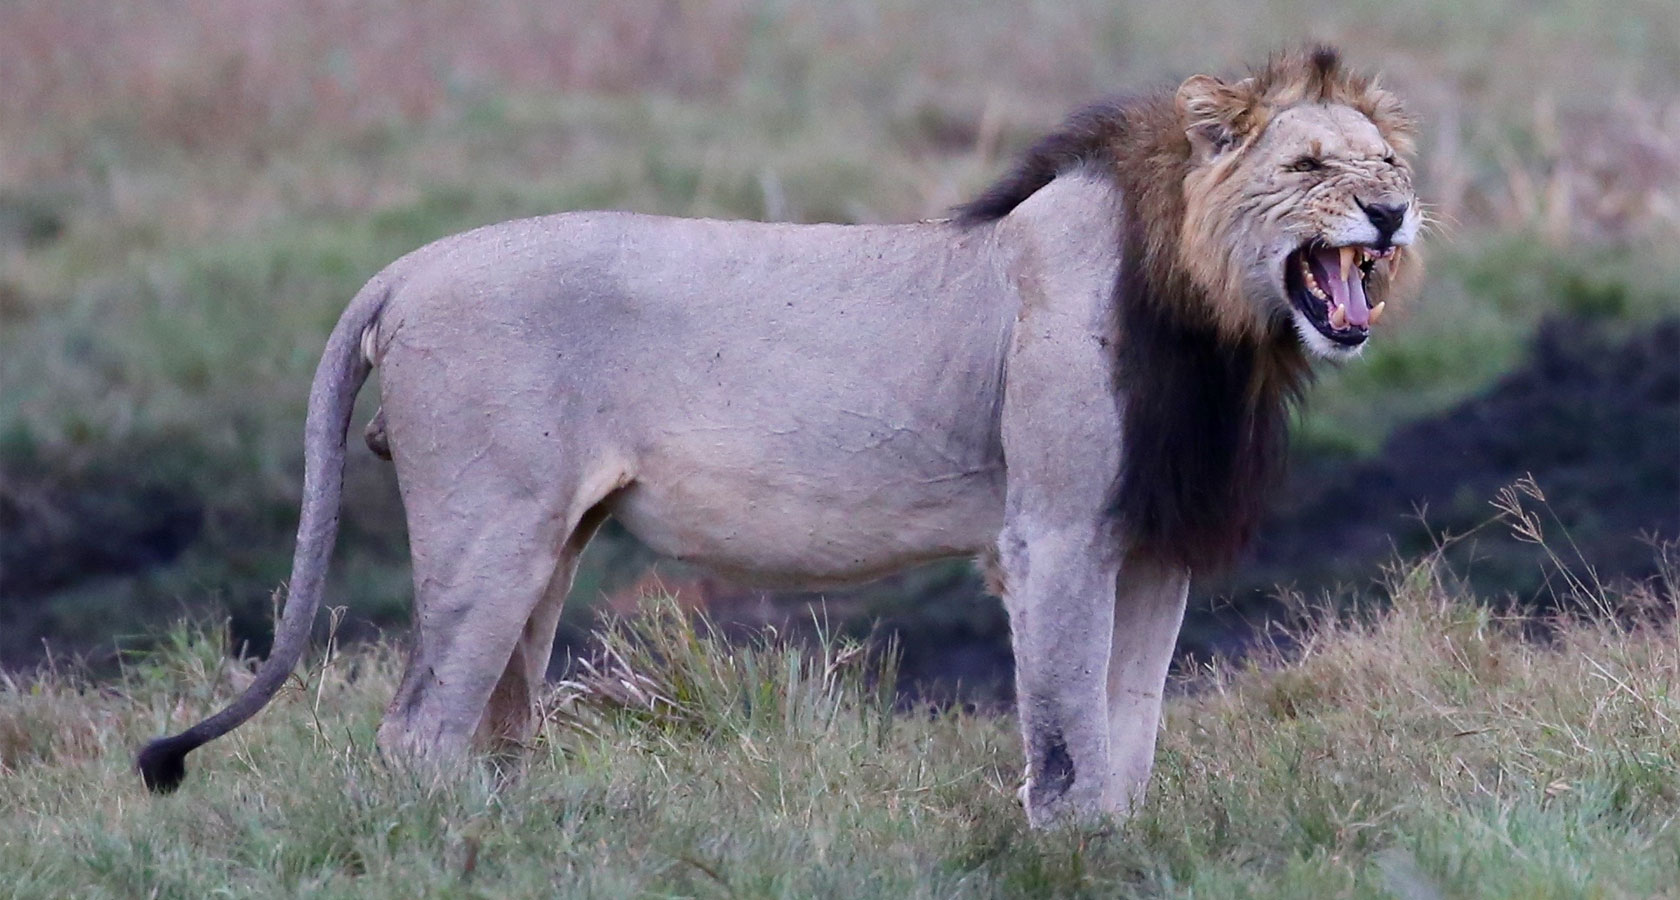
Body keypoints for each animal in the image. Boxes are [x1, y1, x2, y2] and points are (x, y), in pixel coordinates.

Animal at [138, 47, 1421, 828]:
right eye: (1309, 165)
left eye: (1388, 161)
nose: (1394, 211)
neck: (1218, 327)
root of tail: (403, 266)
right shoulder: (1052, 536)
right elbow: (1068, 736)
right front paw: (1076, 850)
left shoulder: (1150, 546)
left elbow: (1133, 728)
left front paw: (1122, 840)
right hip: (485, 532)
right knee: (417, 735)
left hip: (544, 546)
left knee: (490, 730)